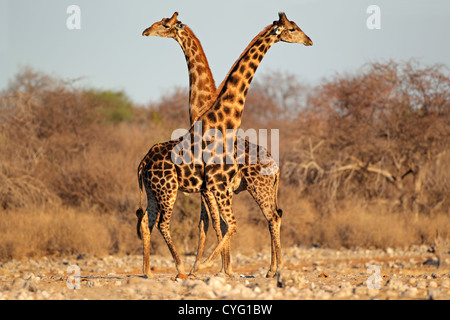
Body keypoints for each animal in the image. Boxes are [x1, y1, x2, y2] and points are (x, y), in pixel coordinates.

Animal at [136, 11, 312, 278]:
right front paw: (214, 267)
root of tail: (143, 163)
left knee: (273, 216)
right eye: (292, 28)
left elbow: (218, 224)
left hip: (164, 190)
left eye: (164, 24)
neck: (219, 120)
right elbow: (219, 224)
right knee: (159, 223)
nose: (309, 40)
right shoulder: (213, 187)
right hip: (166, 190)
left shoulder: (214, 188)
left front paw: (219, 268)